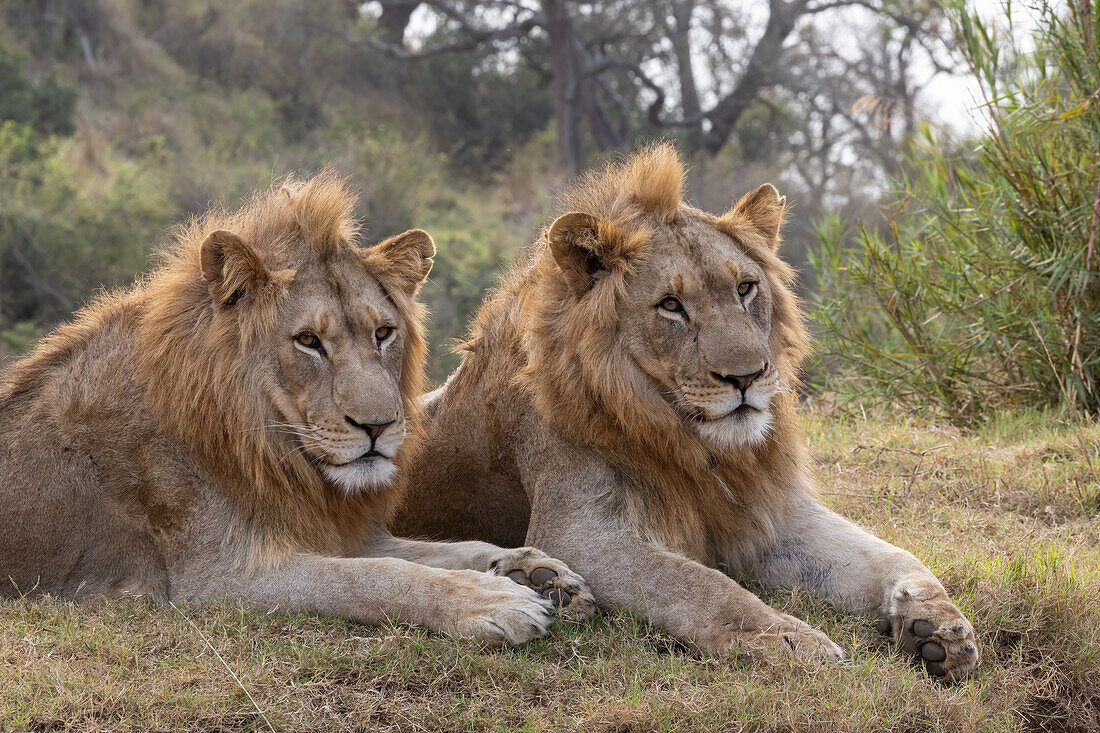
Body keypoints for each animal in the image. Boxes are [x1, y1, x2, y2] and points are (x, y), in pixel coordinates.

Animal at [0, 168, 594, 642]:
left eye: (383, 333)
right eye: (308, 341)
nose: (379, 426)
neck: (274, 452)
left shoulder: (337, 528)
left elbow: (443, 548)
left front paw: (536, 572)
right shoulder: (218, 578)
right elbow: (377, 576)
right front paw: (492, 600)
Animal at [393, 144, 981, 677]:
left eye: (746, 288)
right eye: (671, 306)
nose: (746, 376)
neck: (696, 445)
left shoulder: (769, 513)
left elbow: (892, 555)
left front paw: (936, 624)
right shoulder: (579, 533)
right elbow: (703, 585)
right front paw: (791, 640)